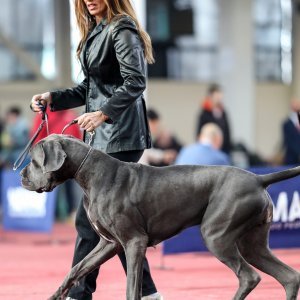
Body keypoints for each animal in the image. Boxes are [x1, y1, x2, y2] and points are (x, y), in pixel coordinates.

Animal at [20, 135, 300, 298]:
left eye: (33, 160)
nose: (21, 176)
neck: (89, 172)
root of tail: (258, 179)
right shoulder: (109, 244)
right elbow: (76, 269)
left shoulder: (134, 242)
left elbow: (131, 286)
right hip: (252, 244)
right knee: (289, 277)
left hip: (217, 236)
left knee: (249, 276)